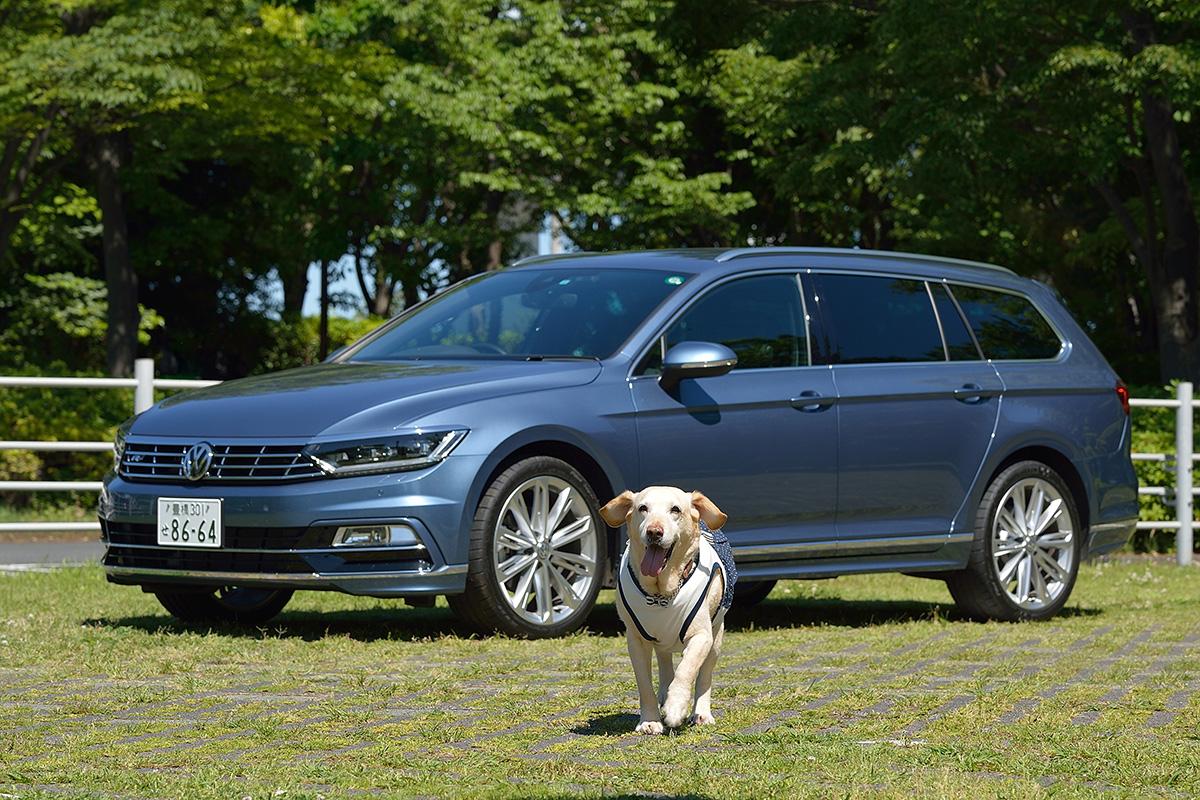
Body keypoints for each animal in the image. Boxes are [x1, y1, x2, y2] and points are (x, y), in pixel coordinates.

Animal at [597, 484, 729, 734]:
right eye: (643, 508)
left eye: (675, 509)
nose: (654, 532)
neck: (661, 593)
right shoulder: (636, 640)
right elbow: (644, 684)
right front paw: (650, 720)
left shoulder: (702, 636)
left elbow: (687, 669)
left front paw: (676, 707)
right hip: (662, 641)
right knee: (666, 664)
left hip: (716, 637)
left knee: (704, 676)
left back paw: (701, 713)